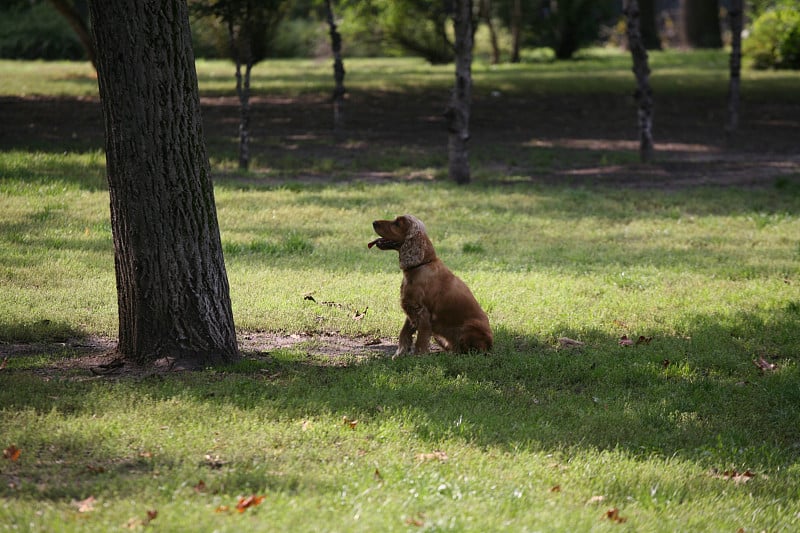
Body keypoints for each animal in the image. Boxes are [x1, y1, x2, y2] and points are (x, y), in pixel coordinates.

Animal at [370, 215, 494, 358]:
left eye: (397, 223)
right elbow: (404, 333)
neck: (421, 264)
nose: (373, 222)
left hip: (468, 328)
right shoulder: (411, 309)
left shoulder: (422, 312)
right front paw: (399, 354)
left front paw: (419, 356)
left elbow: (421, 339)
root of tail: (491, 345)